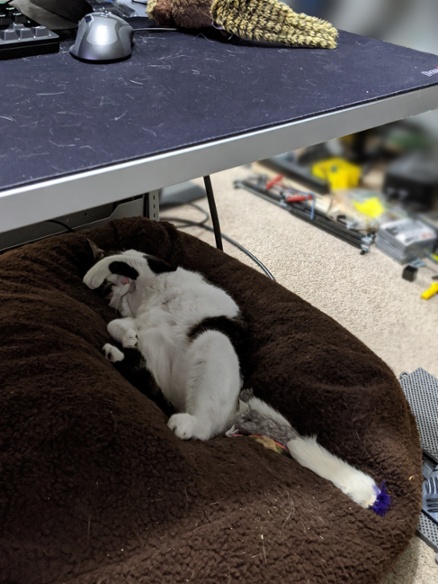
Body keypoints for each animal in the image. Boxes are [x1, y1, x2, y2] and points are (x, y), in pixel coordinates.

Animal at [83, 249, 390, 512]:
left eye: (107, 290)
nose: (110, 299)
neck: (141, 298)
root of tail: (235, 411)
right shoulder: (138, 320)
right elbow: (115, 324)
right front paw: (125, 336)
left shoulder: (152, 266)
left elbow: (121, 258)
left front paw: (94, 274)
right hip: (163, 361)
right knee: (147, 376)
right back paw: (115, 353)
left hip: (213, 340)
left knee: (204, 427)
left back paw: (184, 423)